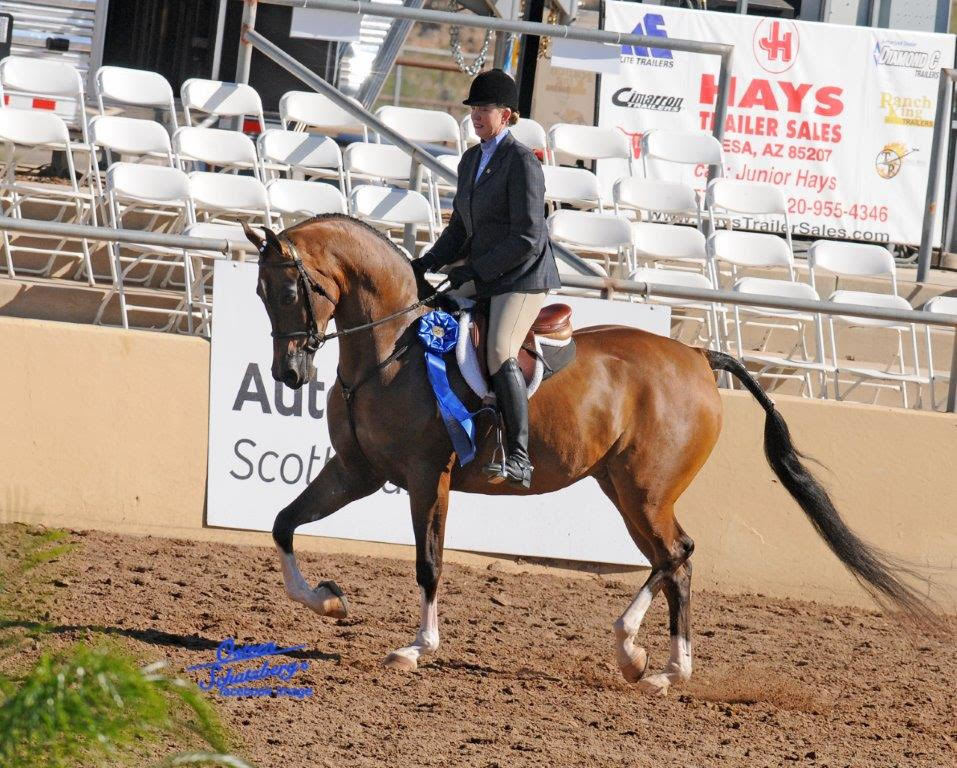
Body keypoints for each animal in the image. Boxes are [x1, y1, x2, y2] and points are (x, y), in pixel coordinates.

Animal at [243, 214, 929, 696]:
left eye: (290, 290)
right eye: (259, 292)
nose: (288, 373)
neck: (391, 351)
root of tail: (697, 356)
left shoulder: (424, 476)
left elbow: (429, 563)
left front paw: (417, 647)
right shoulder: (357, 471)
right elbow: (282, 523)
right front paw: (328, 599)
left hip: (645, 489)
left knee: (676, 555)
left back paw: (640, 656)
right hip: (622, 488)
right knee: (672, 561)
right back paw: (656, 665)